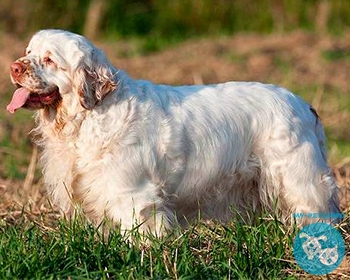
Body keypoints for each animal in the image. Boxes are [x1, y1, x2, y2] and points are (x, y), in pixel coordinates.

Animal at [6, 29, 340, 233]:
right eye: (28, 51)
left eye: (49, 59)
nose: (14, 67)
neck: (90, 116)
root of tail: (303, 103)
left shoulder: (134, 195)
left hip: (299, 180)